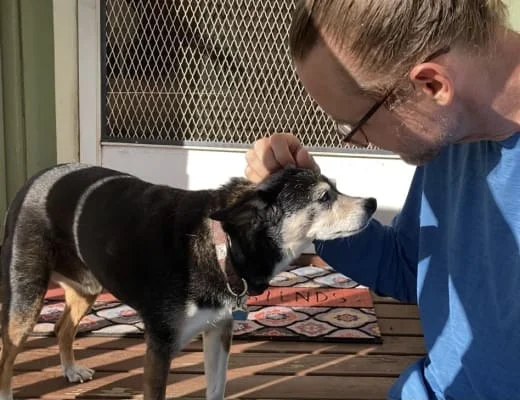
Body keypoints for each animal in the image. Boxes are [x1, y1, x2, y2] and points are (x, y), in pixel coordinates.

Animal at [0, 163, 376, 400]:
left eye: (335, 189)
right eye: (324, 197)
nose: (373, 203)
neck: (222, 244)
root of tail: (36, 176)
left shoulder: (218, 331)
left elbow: (216, 388)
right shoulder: (160, 347)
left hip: (87, 286)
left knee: (62, 327)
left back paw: (70, 369)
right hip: (26, 296)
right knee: (9, 350)